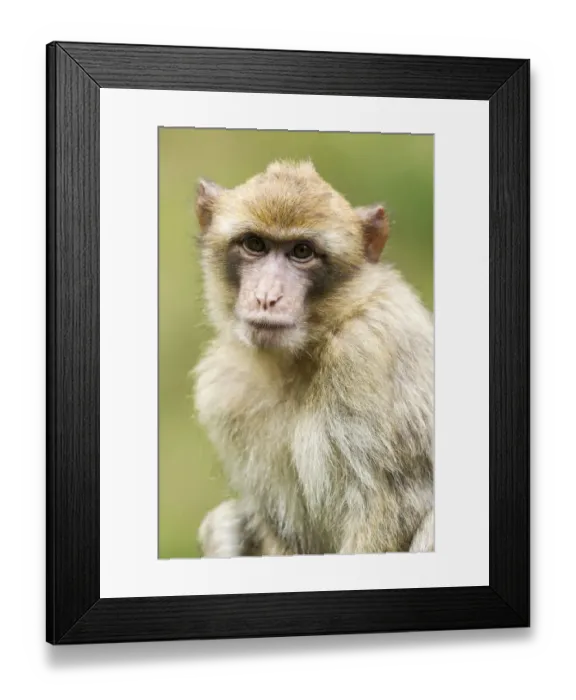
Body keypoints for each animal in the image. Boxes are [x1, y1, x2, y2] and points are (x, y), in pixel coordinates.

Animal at [191, 159, 434, 558]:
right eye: (255, 244)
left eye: (302, 251)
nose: (267, 297)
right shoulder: (227, 392)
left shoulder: (368, 353)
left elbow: (392, 507)